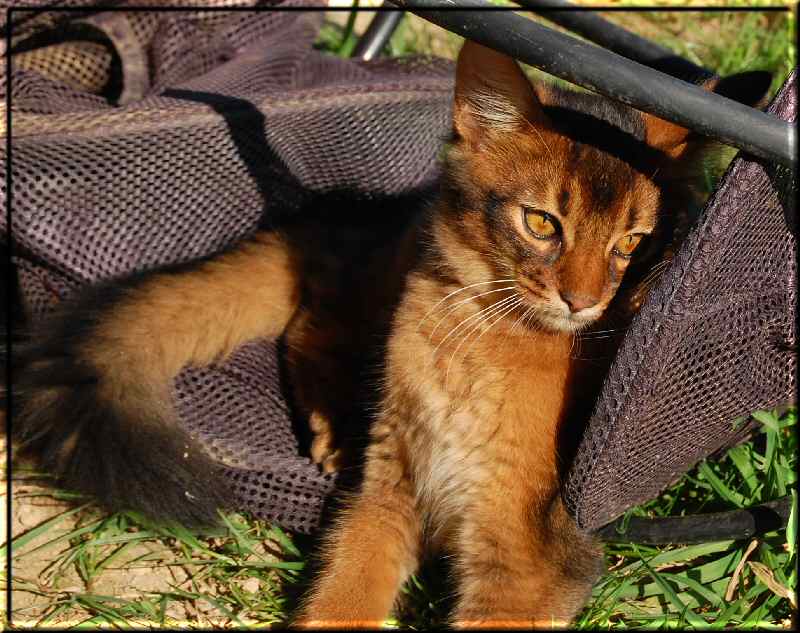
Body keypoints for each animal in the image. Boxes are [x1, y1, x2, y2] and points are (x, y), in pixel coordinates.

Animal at [12, 40, 768, 628]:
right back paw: (333, 423)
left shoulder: (526, 551)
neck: (475, 345)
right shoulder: (386, 492)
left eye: (634, 244)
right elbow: (338, 602)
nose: (582, 302)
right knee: (313, 319)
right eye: (541, 223)